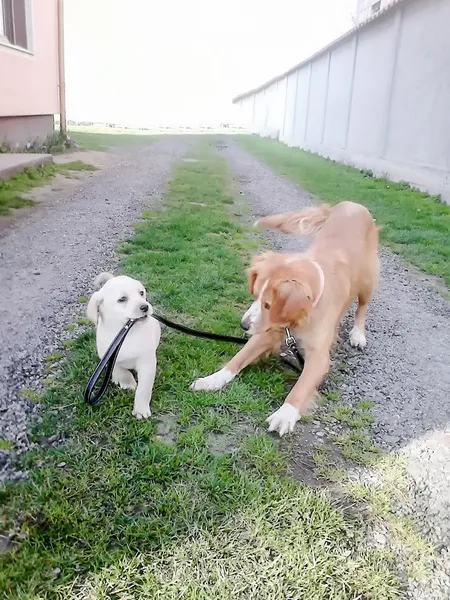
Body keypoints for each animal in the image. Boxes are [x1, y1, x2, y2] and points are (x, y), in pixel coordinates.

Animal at [85, 274, 160, 420]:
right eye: (122, 299)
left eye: (141, 293)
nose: (145, 307)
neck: (126, 332)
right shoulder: (108, 355)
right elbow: (119, 370)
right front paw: (127, 382)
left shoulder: (147, 363)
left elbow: (143, 388)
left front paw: (141, 409)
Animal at [190, 202, 380, 436]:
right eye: (255, 296)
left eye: (268, 305)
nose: (243, 325)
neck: (300, 316)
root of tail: (351, 204)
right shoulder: (267, 332)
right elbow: (238, 358)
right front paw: (212, 380)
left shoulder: (319, 357)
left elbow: (300, 388)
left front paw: (285, 414)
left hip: (368, 280)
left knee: (362, 308)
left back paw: (358, 334)